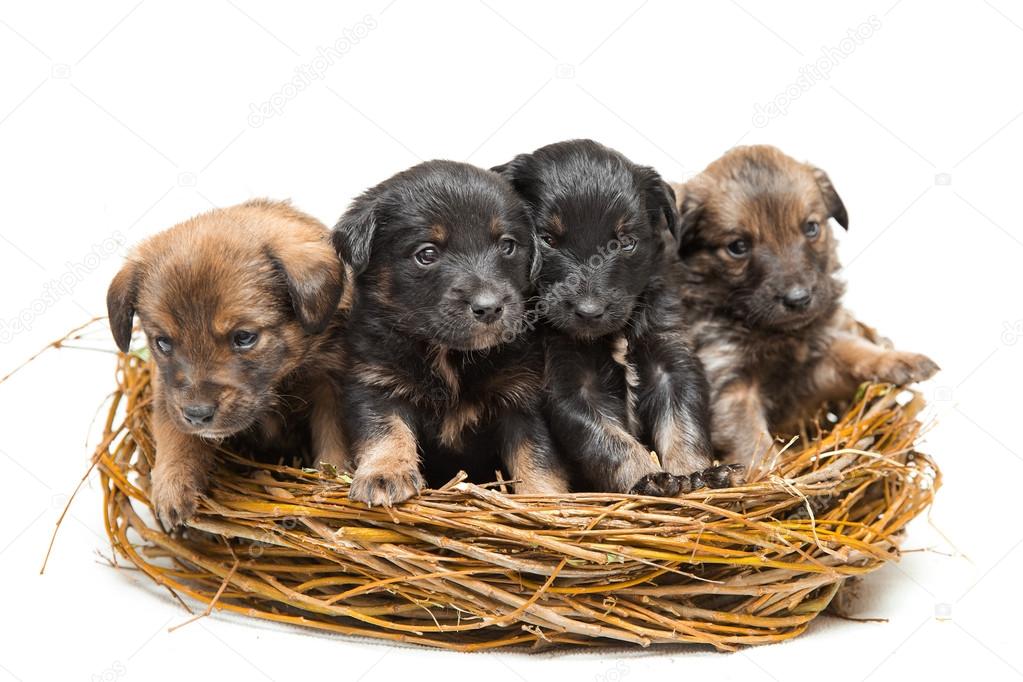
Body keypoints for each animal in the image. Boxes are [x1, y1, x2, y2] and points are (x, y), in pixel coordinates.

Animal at [105, 200, 349, 527]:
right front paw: (172, 484)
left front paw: (333, 480)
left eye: (244, 337)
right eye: (163, 342)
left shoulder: (329, 384)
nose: (197, 415)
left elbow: (334, 439)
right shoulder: (167, 390)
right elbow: (174, 431)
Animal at [331, 157, 572, 505]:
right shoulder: (376, 382)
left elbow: (537, 456)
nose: (489, 307)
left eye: (507, 246)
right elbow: (385, 430)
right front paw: (385, 472)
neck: (449, 354)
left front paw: (544, 499)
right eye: (427, 254)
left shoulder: (523, 396)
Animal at [493, 141, 740, 498]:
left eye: (625, 243)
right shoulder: (571, 387)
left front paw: (700, 473)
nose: (589, 310)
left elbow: (683, 423)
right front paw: (648, 478)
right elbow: (611, 443)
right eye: (548, 240)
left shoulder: (671, 360)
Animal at [675, 144, 937, 474]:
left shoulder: (817, 360)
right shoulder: (729, 387)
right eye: (738, 247)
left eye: (811, 228)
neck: (777, 334)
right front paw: (774, 474)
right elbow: (753, 443)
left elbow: (854, 349)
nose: (798, 299)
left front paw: (897, 359)